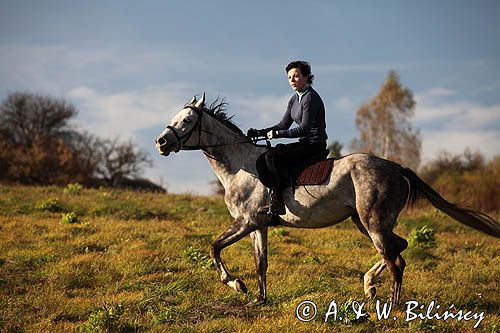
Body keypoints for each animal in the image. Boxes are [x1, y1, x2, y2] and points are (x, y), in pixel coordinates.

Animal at [155, 93, 500, 306]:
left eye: (187, 121)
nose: (161, 142)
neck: (241, 166)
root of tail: (396, 167)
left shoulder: (245, 221)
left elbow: (214, 248)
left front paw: (236, 284)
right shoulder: (258, 225)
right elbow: (261, 263)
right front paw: (259, 299)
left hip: (374, 223)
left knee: (396, 260)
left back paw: (390, 305)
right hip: (364, 222)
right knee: (398, 247)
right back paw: (369, 285)